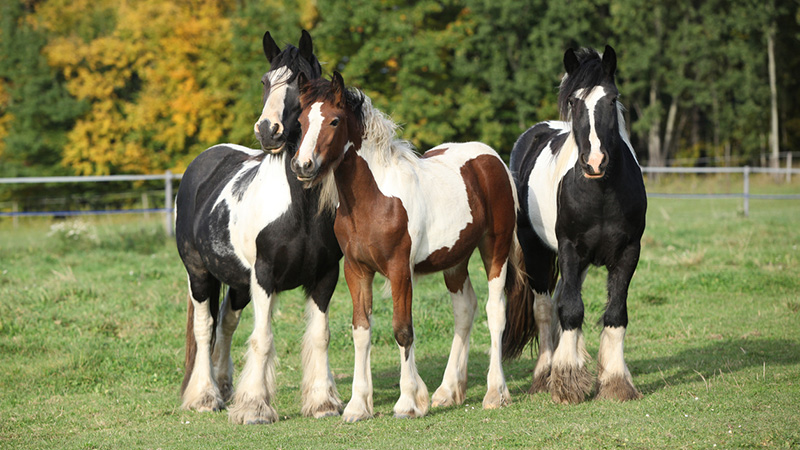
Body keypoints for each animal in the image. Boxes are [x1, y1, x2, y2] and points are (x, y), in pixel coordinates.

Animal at [177, 29, 342, 424]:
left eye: (302, 81)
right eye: (266, 81)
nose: (268, 130)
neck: (299, 211)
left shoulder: (326, 276)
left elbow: (319, 336)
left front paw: (322, 403)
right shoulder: (265, 277)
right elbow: (262, 338)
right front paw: (254, 406)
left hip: (238, 283)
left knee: (225, 323)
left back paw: (224, 388)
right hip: (199, 274)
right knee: (205, 328)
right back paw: (205, 396)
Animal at [288, 73, 532, 422]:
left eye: (334, 121)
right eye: (301, 121)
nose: (303, 166)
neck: (375, 199)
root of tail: (492, 159)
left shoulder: (399, 269)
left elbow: (403, 330)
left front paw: (408, 402)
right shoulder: (356, 271)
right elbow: (361, 330)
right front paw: (358, 406)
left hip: (495, 249)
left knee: (495, 311)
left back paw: (495, 393)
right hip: (454, 260)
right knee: (465, 309)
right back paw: (448, 392)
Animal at [504, 45, 648, 404]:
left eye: (612, 99)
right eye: (573, 102)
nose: (594, 162)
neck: (601, 193)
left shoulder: (628, 252)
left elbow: (615, 313)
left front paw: (615, 381)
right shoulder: (569, 249)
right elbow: (570, 310)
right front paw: (567, 380)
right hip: (537, 251)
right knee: (545, 307)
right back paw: (544, 374)